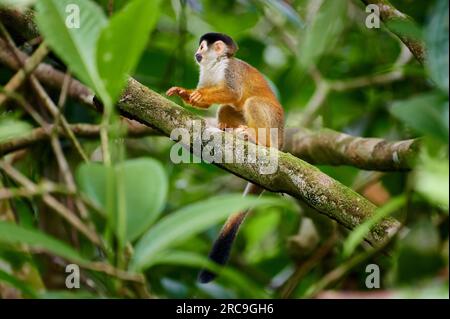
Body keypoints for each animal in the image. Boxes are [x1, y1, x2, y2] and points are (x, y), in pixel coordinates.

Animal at [165, 31, 284, 282]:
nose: (196, 54)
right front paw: (187, 94)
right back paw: (228, 128)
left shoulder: (230, 70)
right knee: (227, 107)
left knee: (251, 102)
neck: (215, 65)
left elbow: (233, 92)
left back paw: (258, 139)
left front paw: (198, 95)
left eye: (202, 47)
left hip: (273, 124)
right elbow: (216, 101)